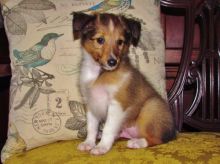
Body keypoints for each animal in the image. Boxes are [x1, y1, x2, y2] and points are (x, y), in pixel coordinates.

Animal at [73, 12, 176, 155]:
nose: (112, 62)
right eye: (100, 40)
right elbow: (91, 127)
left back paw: (137, 142)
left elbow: (108, 128)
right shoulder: (91, 103)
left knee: (157, 139)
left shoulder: (117, 104)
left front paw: (101, 147)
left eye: (120, 42)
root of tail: (173, 133)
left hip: (151, 107)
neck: (99, 73)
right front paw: (89, 143)